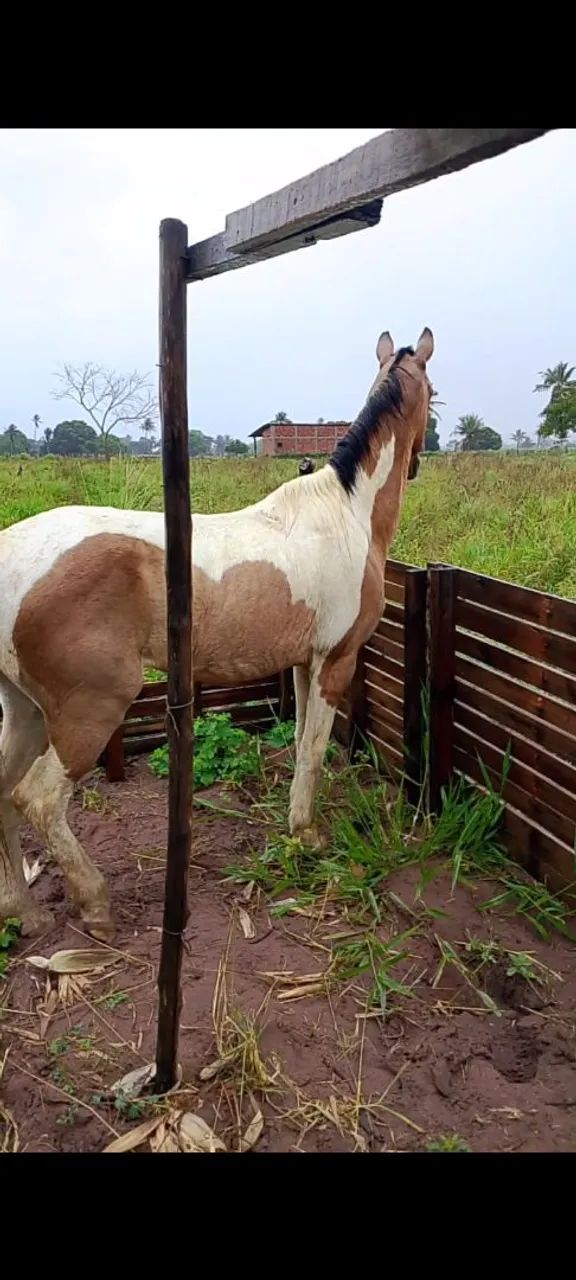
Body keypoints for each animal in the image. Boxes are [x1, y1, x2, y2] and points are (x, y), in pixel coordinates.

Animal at [0, 328, 434, 940]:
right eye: (433, 396)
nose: (419, 460)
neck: (346, 512)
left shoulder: (303, 663)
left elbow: (300, 740)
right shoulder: (336, 660)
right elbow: (315, 749)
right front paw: (307, 835)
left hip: (25, 710)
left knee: (2, 795)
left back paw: (26, 912)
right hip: (88, 711)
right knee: (37, 799)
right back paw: (96, 904)